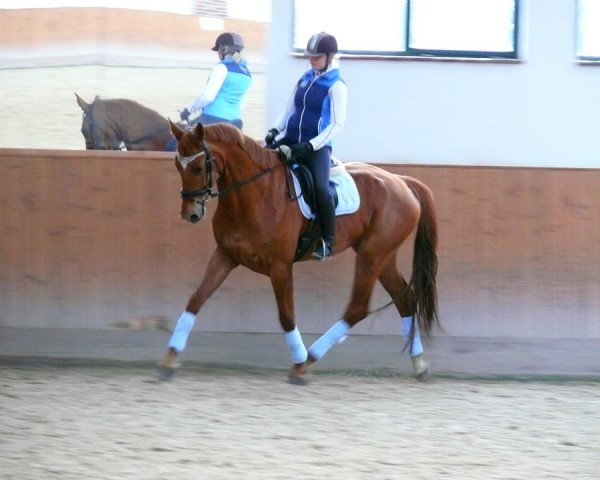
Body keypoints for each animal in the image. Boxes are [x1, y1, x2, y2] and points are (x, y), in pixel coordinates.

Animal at [158, 122, 440, 384]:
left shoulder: (280, 267)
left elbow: (286, 316)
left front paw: (299, 366)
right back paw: (419, 363)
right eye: (177, 166)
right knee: (404, 300)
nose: (190, 214)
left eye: (197, 167)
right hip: (383, 256)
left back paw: (310, 357)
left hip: (372, 255)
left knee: (358, 308)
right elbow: (196, 300)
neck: (255, 193)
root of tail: (401, 181)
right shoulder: (226, 255)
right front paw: (169, 360)